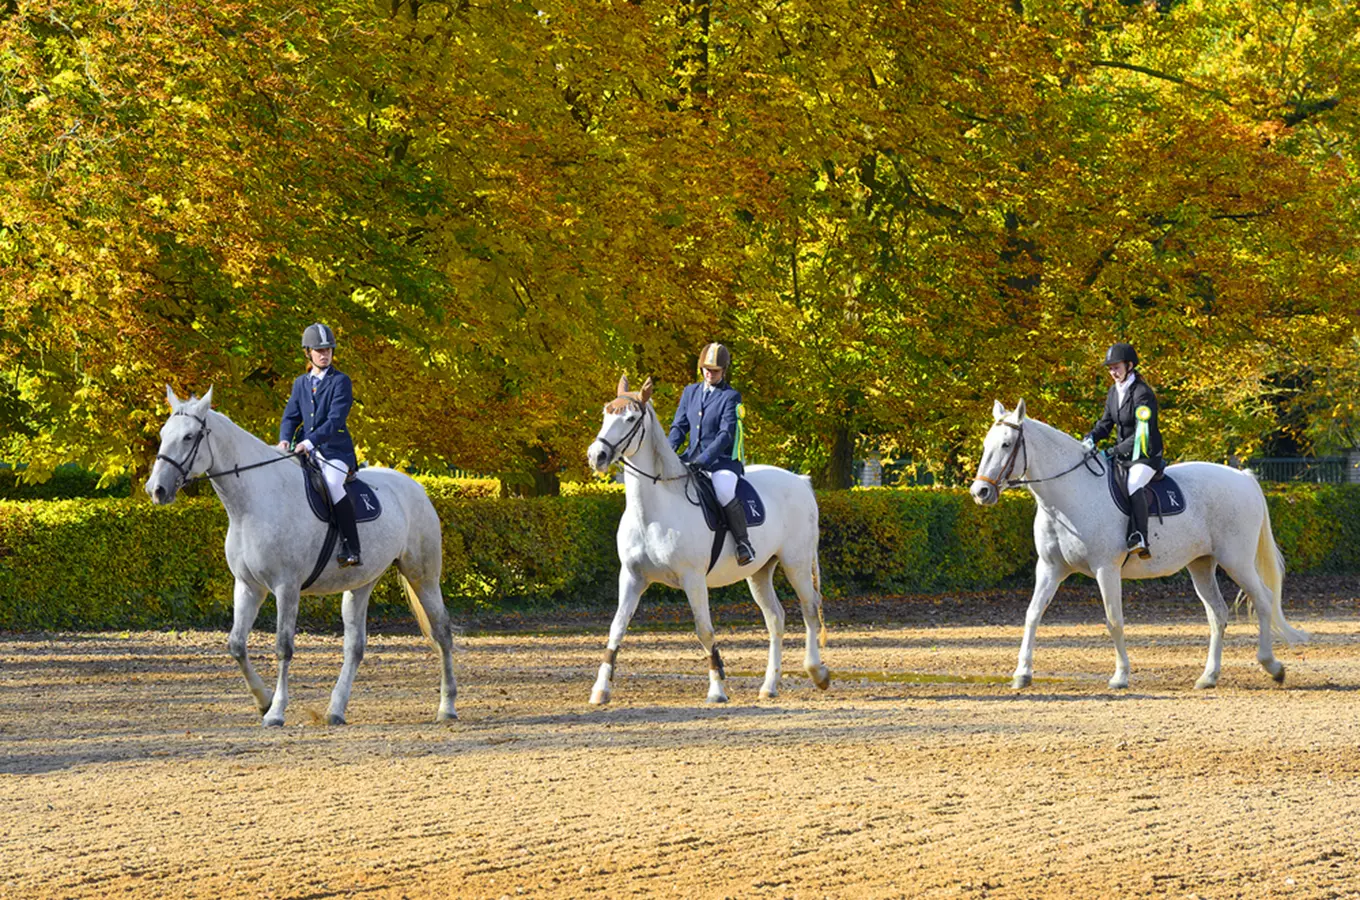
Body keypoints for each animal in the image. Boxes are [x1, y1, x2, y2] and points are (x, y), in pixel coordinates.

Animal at [146, 388, 456, 728]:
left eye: (189, 437)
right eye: (163, 434)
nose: (156, 490)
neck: (252, 503)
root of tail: (416, 487)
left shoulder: (286, 587)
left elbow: (283, 647)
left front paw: (276, 711)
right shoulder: (248, 586)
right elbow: (237, 644)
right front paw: (263, 701)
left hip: (423, 576)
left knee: (442, 632)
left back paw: (447, 707)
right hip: (361, 582)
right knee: (355, 647)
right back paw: (335, 710)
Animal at [584, 377, 826, 706]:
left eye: (631, 419)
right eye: (605, 413)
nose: (596, 456)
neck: (653, 511)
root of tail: (800, 481)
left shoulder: (693, 579)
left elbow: (704, 631)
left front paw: (717, 689)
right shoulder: (632, 577)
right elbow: (616, 628)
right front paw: (600, 689)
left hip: (796, 564)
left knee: (809, 609)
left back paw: (817, 672)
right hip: (760, 572)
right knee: (775, 619)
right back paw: (769, 685)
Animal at [968, 402, 1305, 690]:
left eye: (1007, 445)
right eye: (986, 444)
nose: (980, 492)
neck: (1069, 495)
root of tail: (1244, 477)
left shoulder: (1106, 569)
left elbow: (1113, 619)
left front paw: (1120, 676)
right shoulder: (1050, 568)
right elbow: (1033, 614)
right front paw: (1022, 673)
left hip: (1237, 560)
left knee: (1263, 600)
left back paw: (1272, 666)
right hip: (1201, 564)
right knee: (1218, 614)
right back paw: (1208, 676)